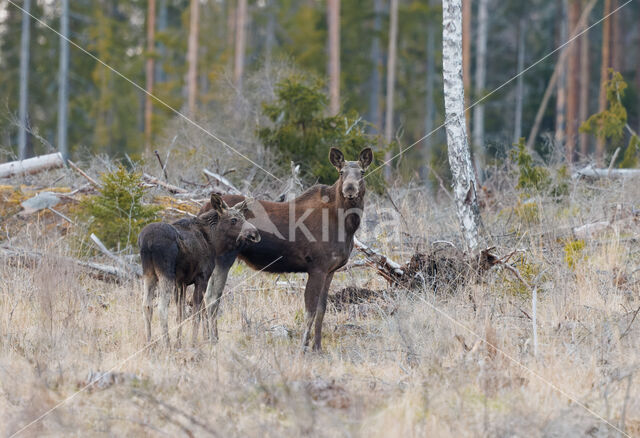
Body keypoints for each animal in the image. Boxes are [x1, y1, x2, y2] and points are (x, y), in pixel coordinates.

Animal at [139, 193, 260, 348]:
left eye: (244, 217)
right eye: (234, 220)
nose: (255, 234)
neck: (213, 240)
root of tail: (147, 242)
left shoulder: (181, 282)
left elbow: (180, 314)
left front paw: (179, 342)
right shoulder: (202, 277)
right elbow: (197, 312)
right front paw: (194, 342)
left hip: (148, 272)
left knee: (147, 305)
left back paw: (149, 344)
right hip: (165, 273)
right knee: (162, 307)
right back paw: (167, 344)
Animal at [198, 147, 372, 352]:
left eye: (362, 172)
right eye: (341, 172)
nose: (350, 189)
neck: (345, 226)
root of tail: (203, 209)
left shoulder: (330, 270)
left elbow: (322, 310)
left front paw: (318, 348)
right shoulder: (317, 267)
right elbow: (310, 310)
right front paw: (303, 348)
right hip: (223, 257)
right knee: (211, 297)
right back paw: (213, 340)